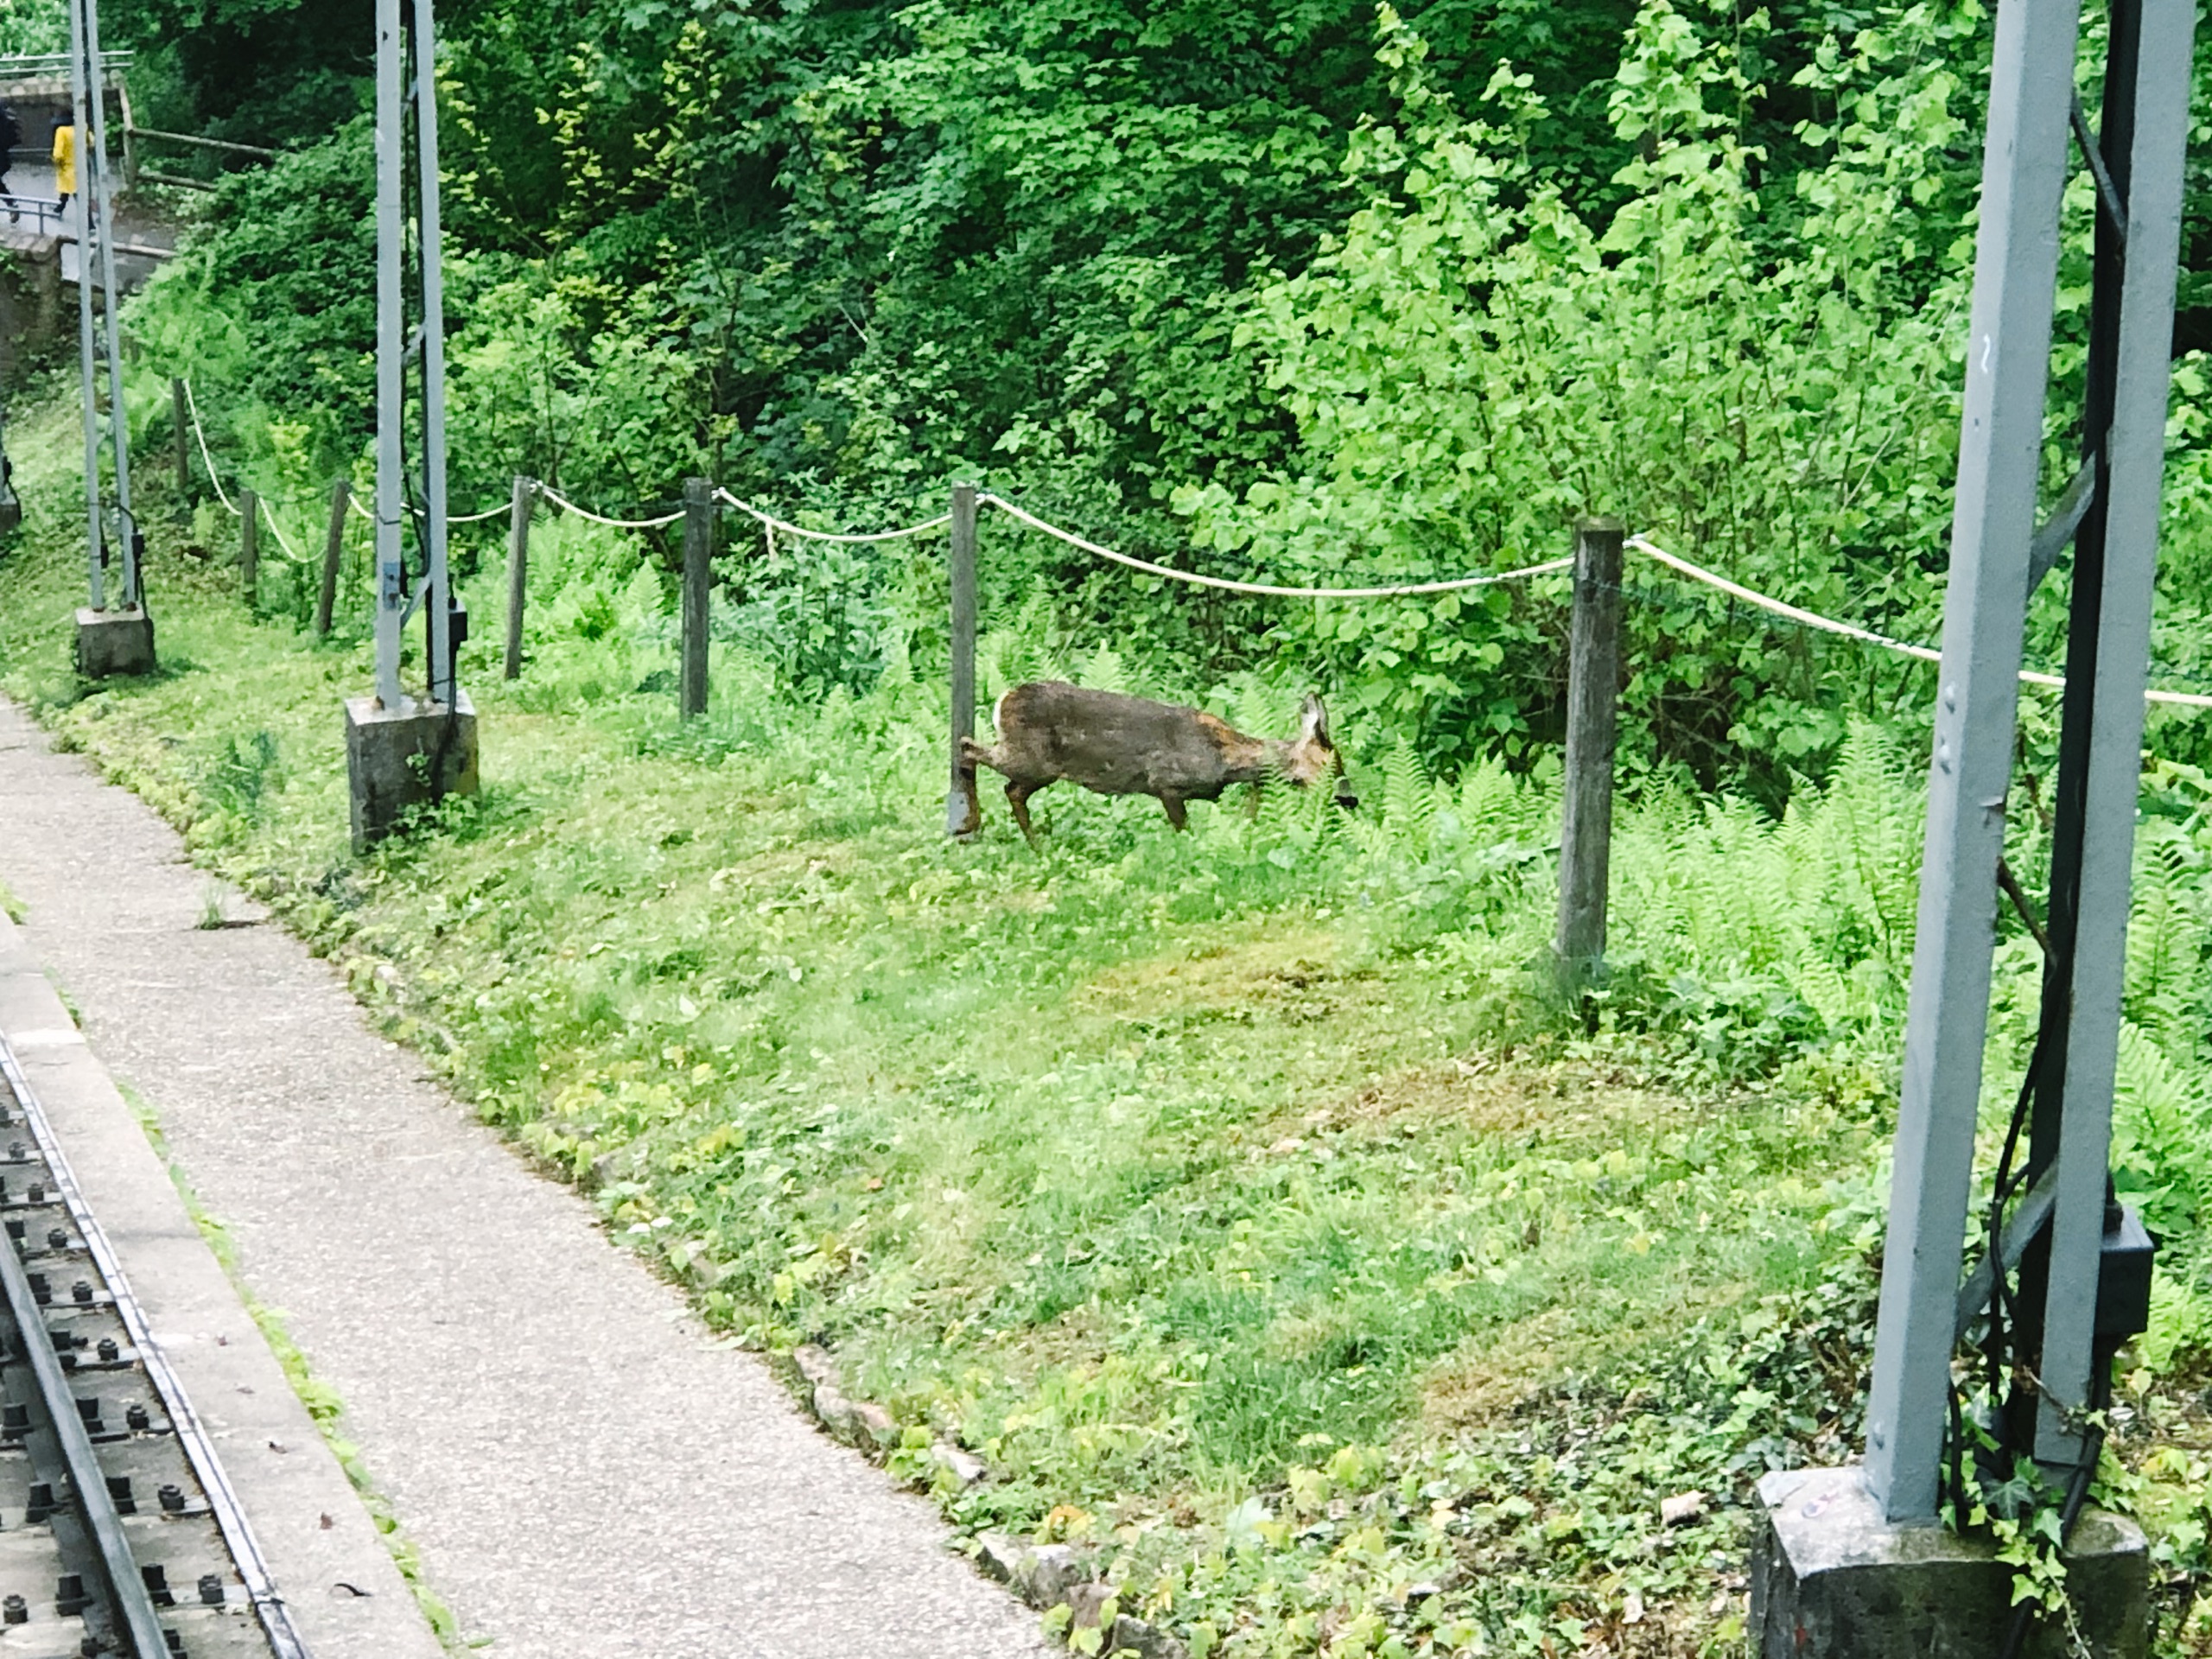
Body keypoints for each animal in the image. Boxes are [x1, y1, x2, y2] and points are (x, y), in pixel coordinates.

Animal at [950, 681, 1344, 849]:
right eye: (1336, 766)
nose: (1350, 798)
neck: (1224, 757)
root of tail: (1003, 699)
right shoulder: (1165, 782)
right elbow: (1183, 828)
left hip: (1037, 767)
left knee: (1011, 789)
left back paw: (1036, 844)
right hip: (1028, 758)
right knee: (968, 748)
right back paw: (968, 823)